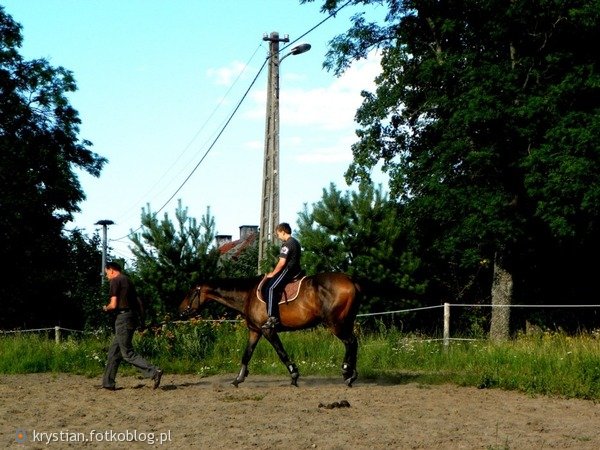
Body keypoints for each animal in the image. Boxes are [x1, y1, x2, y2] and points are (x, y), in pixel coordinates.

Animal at [176, 272, 358, 388]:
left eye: (191, 292)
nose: (180, 311)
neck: (248, 295)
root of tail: (350, 279)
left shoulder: (267, 331)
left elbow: (281, 352)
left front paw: (294, 376)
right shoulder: (255, 331)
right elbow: (246, 354)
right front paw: (238, 378)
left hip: (335, 324)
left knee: (350, 342)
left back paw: (346, 373)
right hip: (345, 323)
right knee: (353, 342)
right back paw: (351, 374)